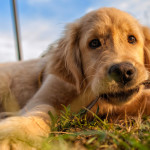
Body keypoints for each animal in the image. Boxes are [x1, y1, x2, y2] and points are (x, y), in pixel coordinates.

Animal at [0, 7, 150, 149]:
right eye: (94, 43)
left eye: (132, 39)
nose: (123, 71)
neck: (87, 92)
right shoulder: (41, 98)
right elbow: (42, 110)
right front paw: (12, 136)